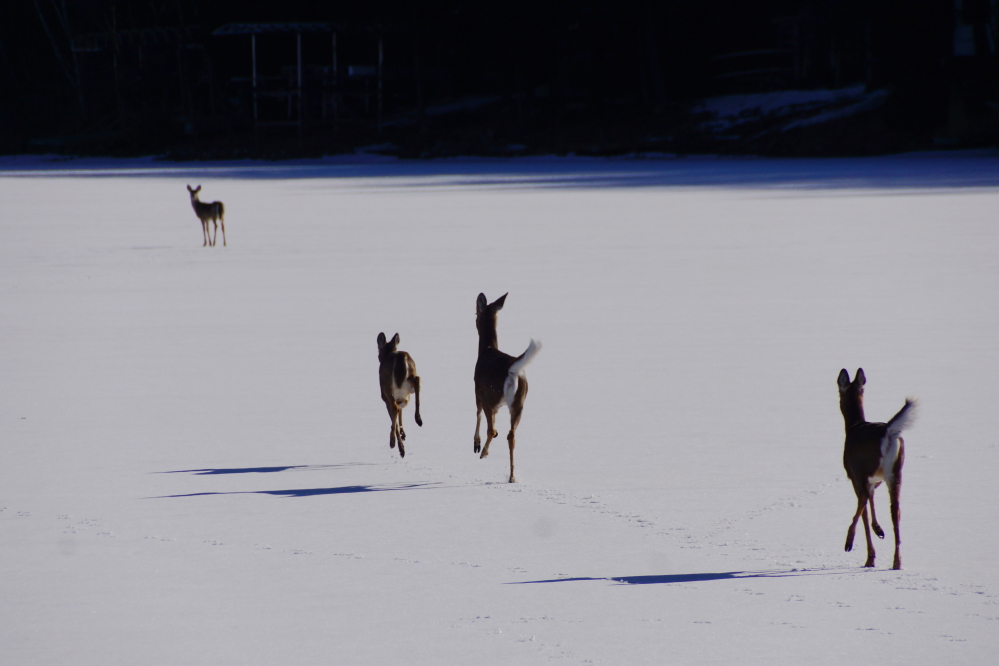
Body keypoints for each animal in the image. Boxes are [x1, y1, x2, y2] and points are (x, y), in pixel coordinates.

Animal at [473, 293, 541, 483]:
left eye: (475, 314)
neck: (486, 350)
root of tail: (512, 369)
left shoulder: (477, 390)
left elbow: (477, 414)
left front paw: (476, 443)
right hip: (519, 401)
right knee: (511, 435)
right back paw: (512, 477)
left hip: (491, 395)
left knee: (492, 429)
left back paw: (484, 452)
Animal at [837, 368, 917, 570]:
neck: (852, 427)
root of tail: (888, 431)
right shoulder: (876, 479)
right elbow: (873, 501)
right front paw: (879, 529)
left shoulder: (855, 476)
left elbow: (865, 507)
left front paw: (871, 554)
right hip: (895, 471)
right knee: (895, 510)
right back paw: (897, 562)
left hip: (864, 469)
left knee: (864, 502)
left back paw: (852, 544)